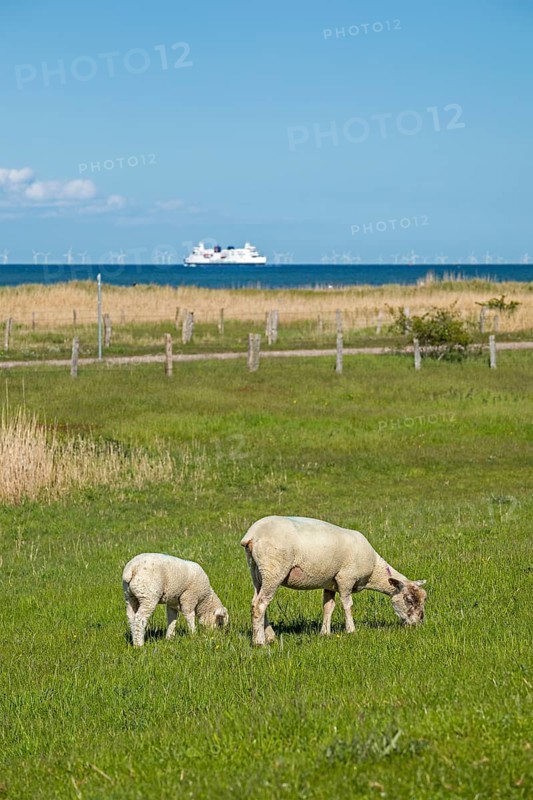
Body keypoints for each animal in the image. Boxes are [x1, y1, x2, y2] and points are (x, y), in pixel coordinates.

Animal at [240, 515, 427, 645]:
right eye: (409, 599)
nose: (418, 623)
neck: (375, 569)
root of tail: (252, 535)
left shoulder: (330, 583)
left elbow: (328, 607)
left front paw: (325, 633)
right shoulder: (346, 578)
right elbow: (347, 605)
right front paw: (351, 630)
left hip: (257, 572)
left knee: (257, 603)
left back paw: (269, 636)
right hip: (274, 570)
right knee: (260, 605)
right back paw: (259, 642)